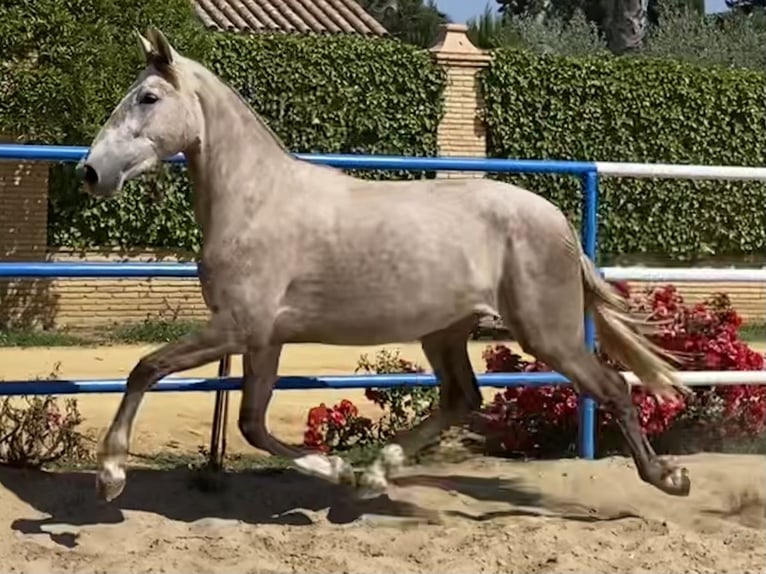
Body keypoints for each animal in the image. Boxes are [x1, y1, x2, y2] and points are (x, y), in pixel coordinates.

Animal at [79, 27, 696, 504]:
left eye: (148, 98)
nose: (90, 172)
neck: (256, 200)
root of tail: (559, 221)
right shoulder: (263, 338)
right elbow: (251, 422)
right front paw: (337, 470)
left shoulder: (236, 327)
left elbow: (146, 368)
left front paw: (110, 476)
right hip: (446, 332)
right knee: (462, 399)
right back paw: (375, 474)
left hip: (548, 334)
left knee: (611, 387)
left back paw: (669, 478)